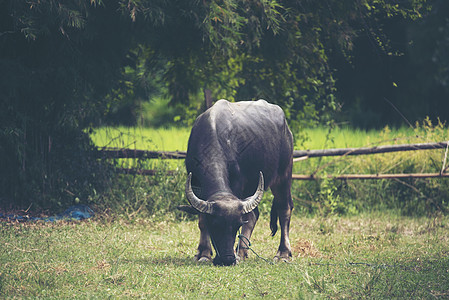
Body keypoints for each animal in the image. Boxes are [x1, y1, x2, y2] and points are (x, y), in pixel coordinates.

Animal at [178, 99, 294, 266]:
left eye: (237, 225)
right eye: (216, 225)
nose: (228, 259)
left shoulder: (239, 185)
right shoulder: (196, 185)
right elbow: (201, 220)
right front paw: (203, 253)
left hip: (284, 173)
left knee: (284, 208)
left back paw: (283, 254)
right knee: (254, 215)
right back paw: (242, 253)